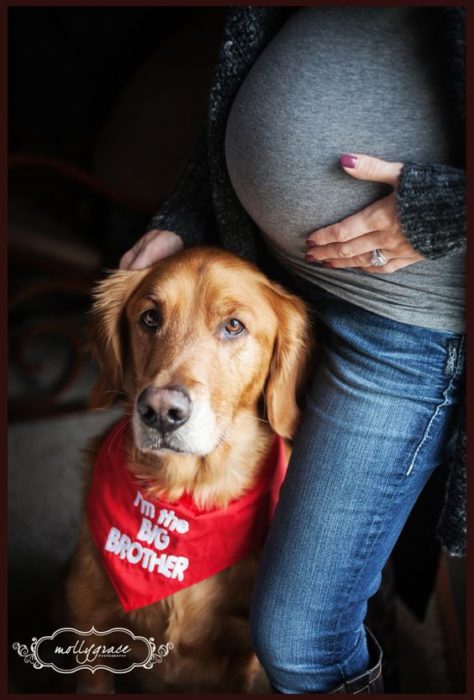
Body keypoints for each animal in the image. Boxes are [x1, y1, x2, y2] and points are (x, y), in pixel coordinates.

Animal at [66, 245, 312, 688]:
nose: (161, 412)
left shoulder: (242, 657)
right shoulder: (89, 624)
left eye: (234, 326)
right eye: (150, 318)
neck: (184, 494)